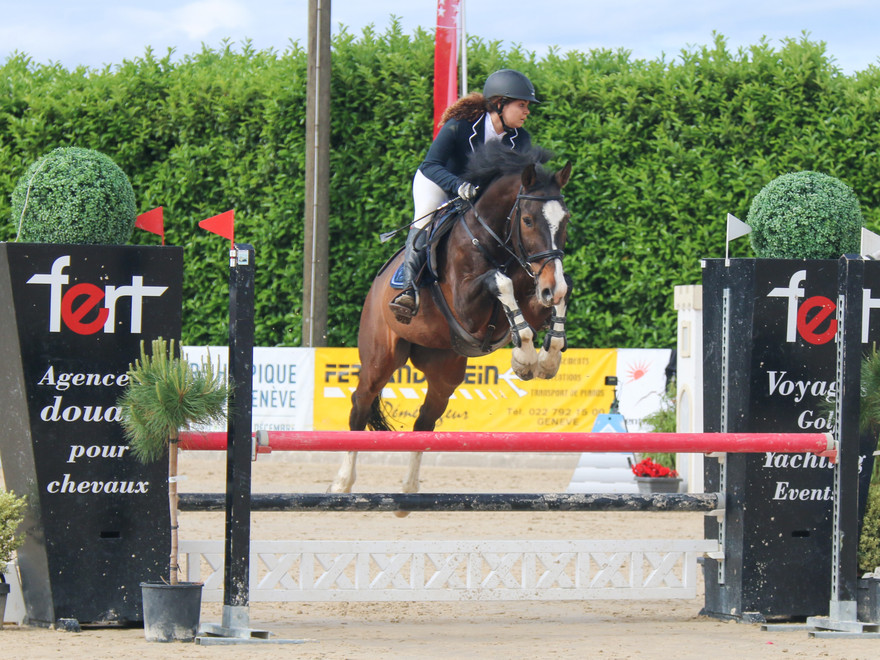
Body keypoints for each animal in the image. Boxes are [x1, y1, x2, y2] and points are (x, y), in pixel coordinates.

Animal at [331, 143, 572, 506]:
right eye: (528, 220)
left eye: (565, 220)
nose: (550, 286)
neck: (496, 242)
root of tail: (374, 289)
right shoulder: (468, 307)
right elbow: (499, 282)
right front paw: (525, 359)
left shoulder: (537, 292)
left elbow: (557, 298)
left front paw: (546, 360)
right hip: (380, 358)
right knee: (360, 403)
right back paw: (343, 484)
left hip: (444, 371)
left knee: (424, 422)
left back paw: (408, 493)